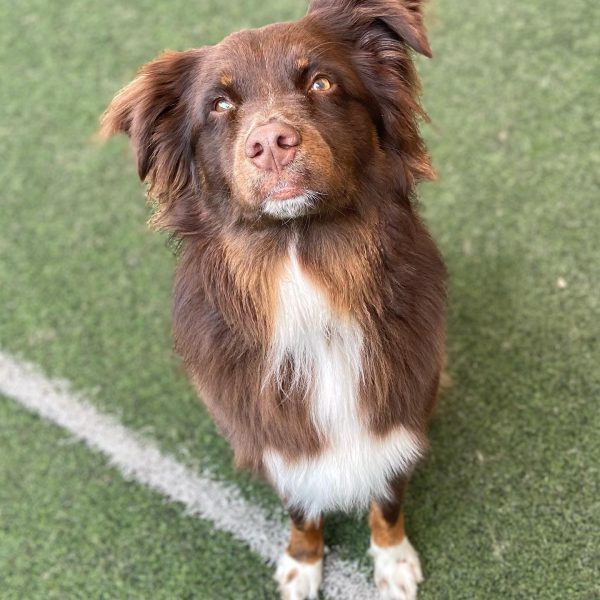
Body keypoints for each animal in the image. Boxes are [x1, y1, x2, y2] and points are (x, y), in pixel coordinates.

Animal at [101, 2, 446, 596]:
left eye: (322, 82)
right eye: (219, 105)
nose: (270, 144)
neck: (301, 258)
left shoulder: (397, 415)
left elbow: (386, 497)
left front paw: (392, 558)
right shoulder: (272, 436)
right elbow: (301, 508)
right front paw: (303, 564)